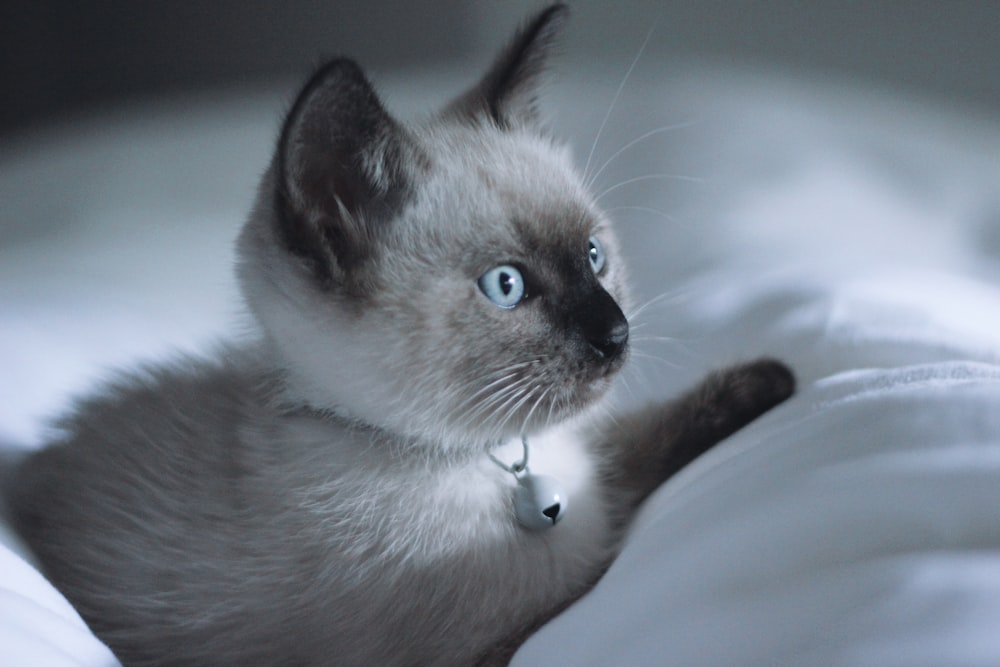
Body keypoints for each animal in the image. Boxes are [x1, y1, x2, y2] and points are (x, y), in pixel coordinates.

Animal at [3, 6, 792, 667]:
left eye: (594, 257)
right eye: (508, 287)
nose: (616, 334)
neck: (492, 463)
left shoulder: (595, 470)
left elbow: (635, 445)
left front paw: (770, 380)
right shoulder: (506, 632)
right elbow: (597, 562)